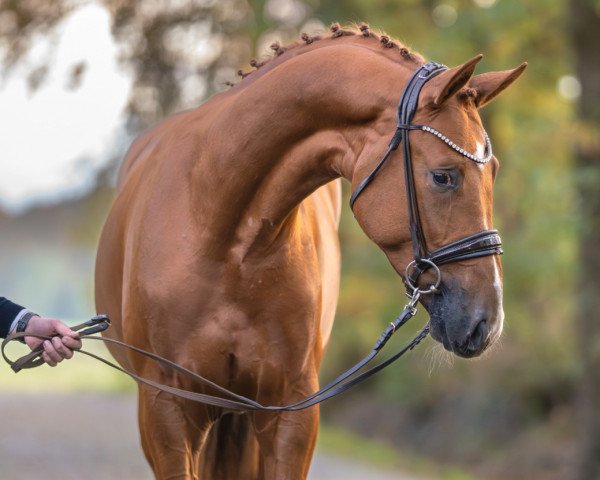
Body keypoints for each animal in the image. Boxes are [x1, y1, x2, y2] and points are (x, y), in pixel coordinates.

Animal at [94, 24, 524, 478]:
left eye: (493, 172)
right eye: (444, 176)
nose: (486, 323)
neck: (225, 237)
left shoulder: (290, 409)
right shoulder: (167, 410)